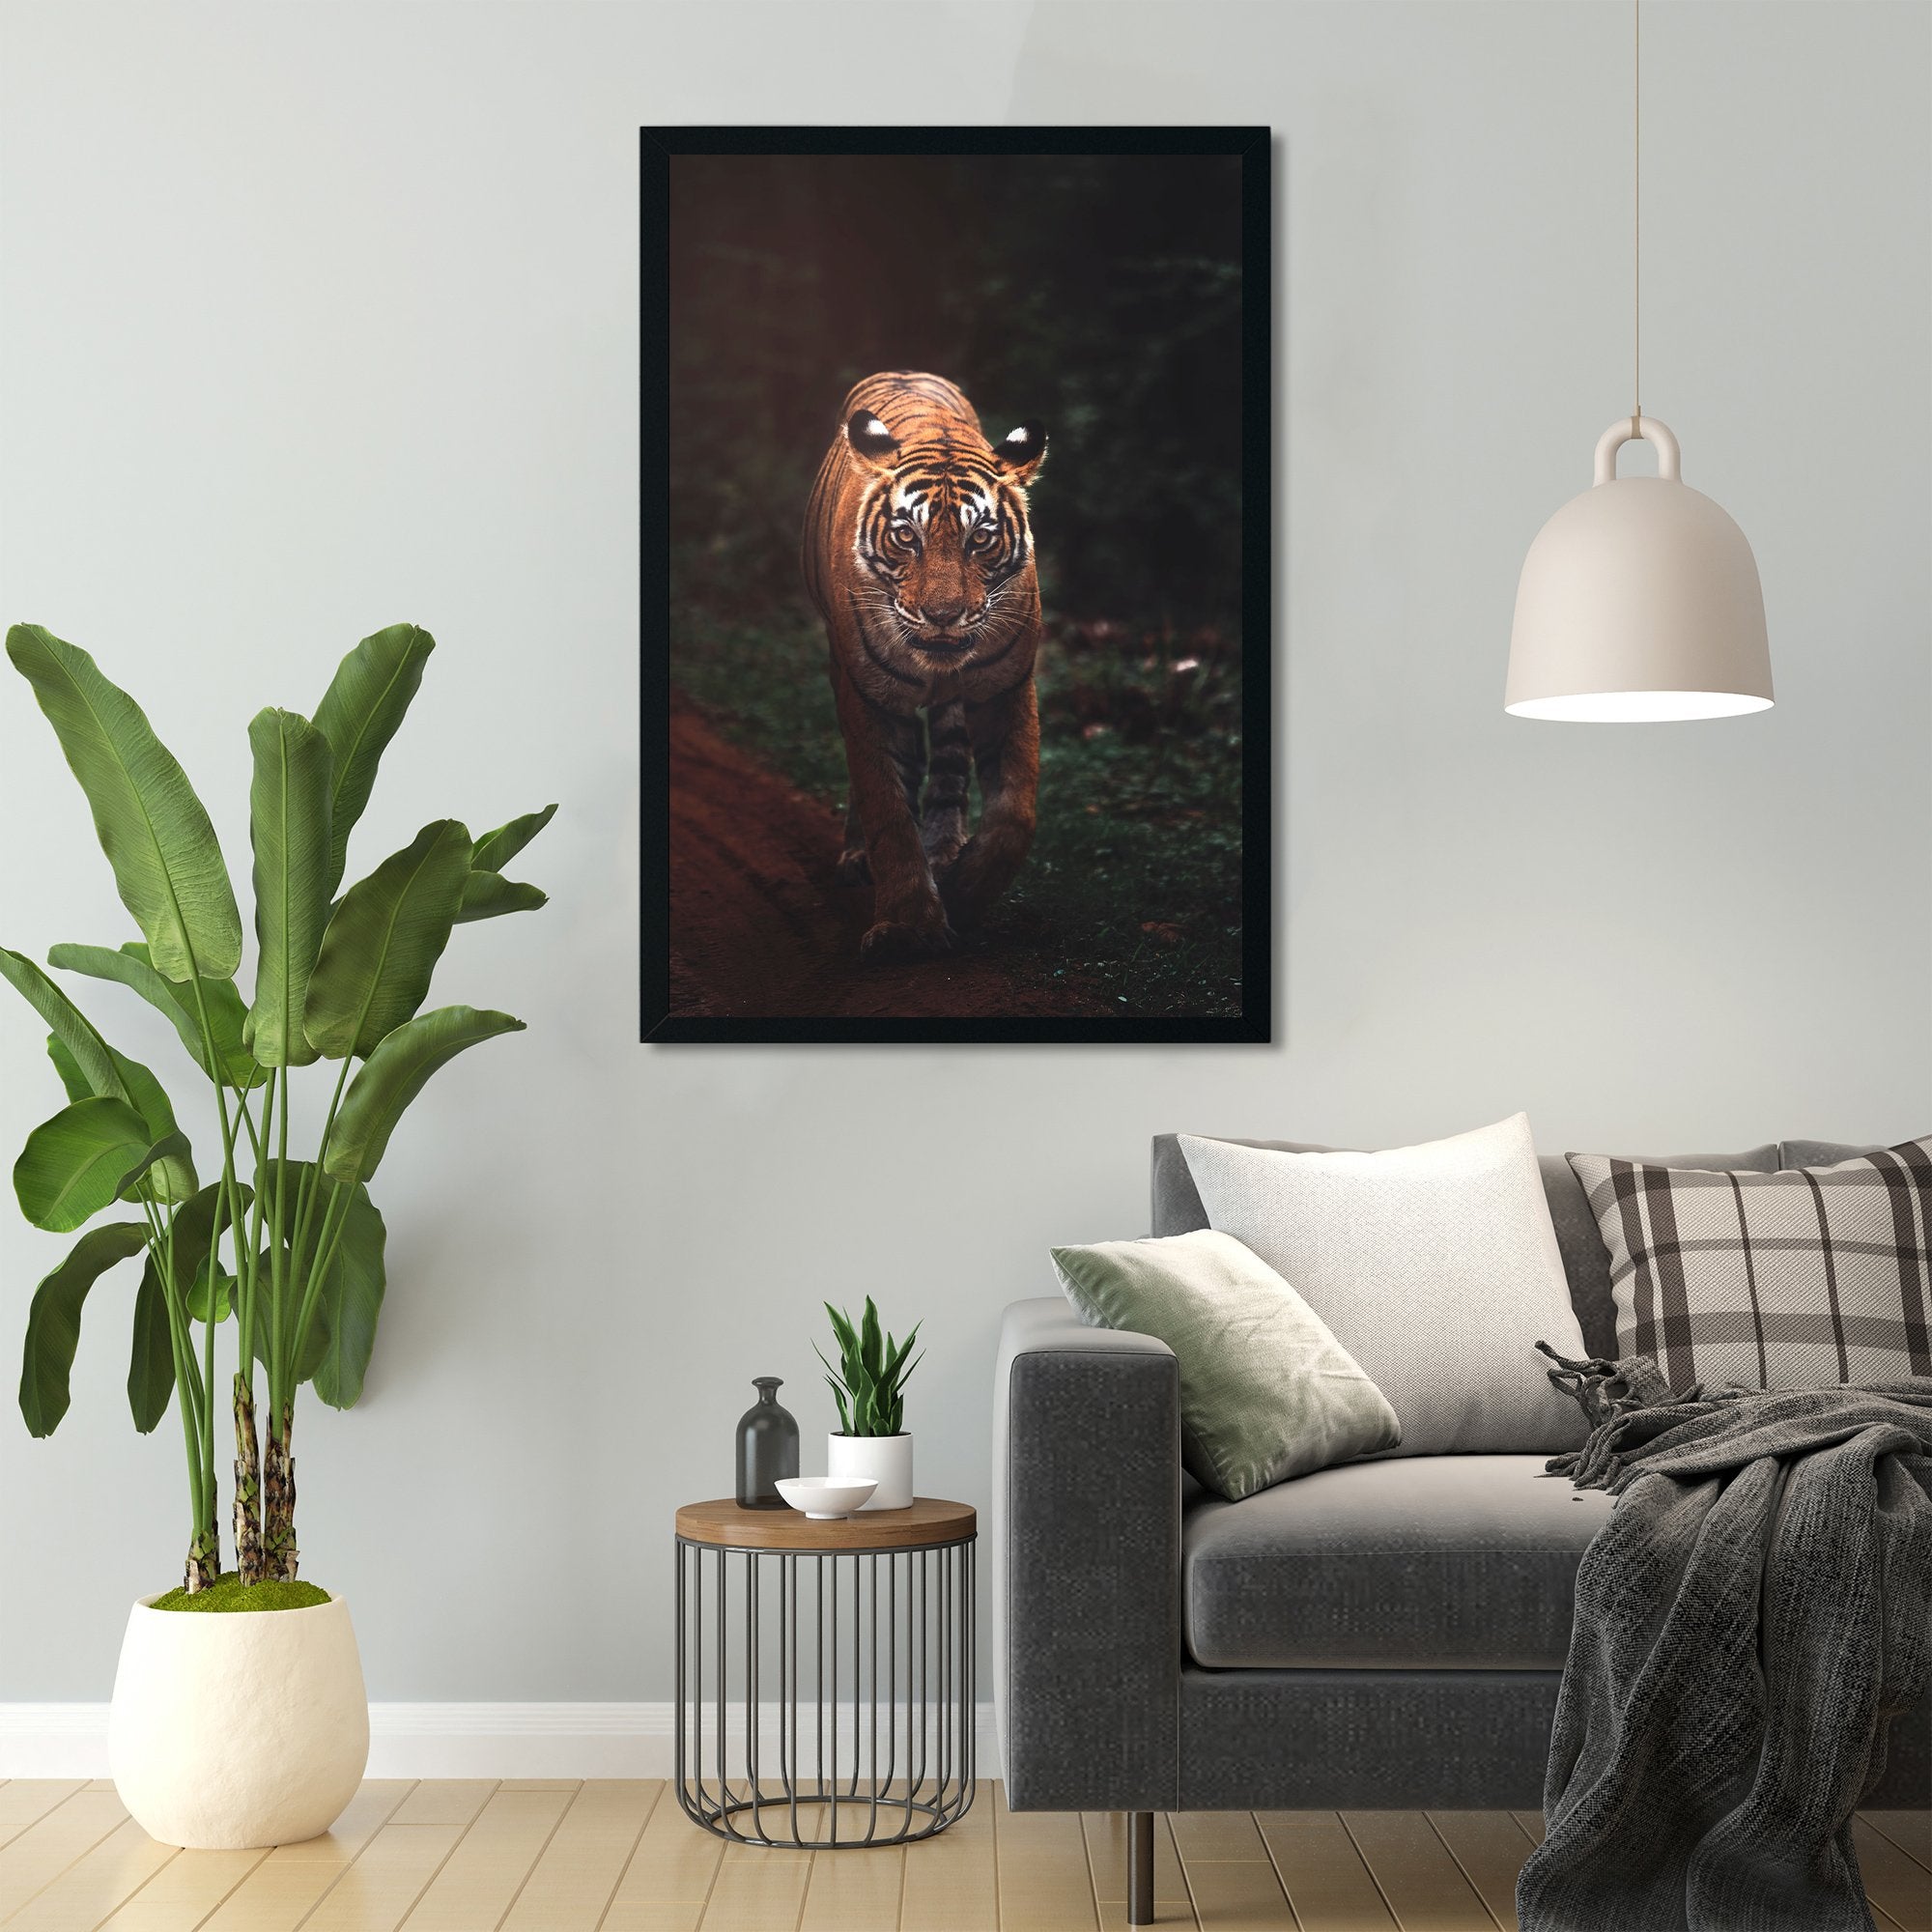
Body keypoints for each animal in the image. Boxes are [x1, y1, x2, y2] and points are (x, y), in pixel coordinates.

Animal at [800, 371, 1047, 960]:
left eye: (979, 539)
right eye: (906, 536)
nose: (942, 615)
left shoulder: (1006, 687)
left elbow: (1014, 815)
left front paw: (961, 894)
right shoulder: (866, 694)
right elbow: (887, 805)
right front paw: (908, 926)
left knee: (949, 761)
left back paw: (943, 851)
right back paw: (859, 859)